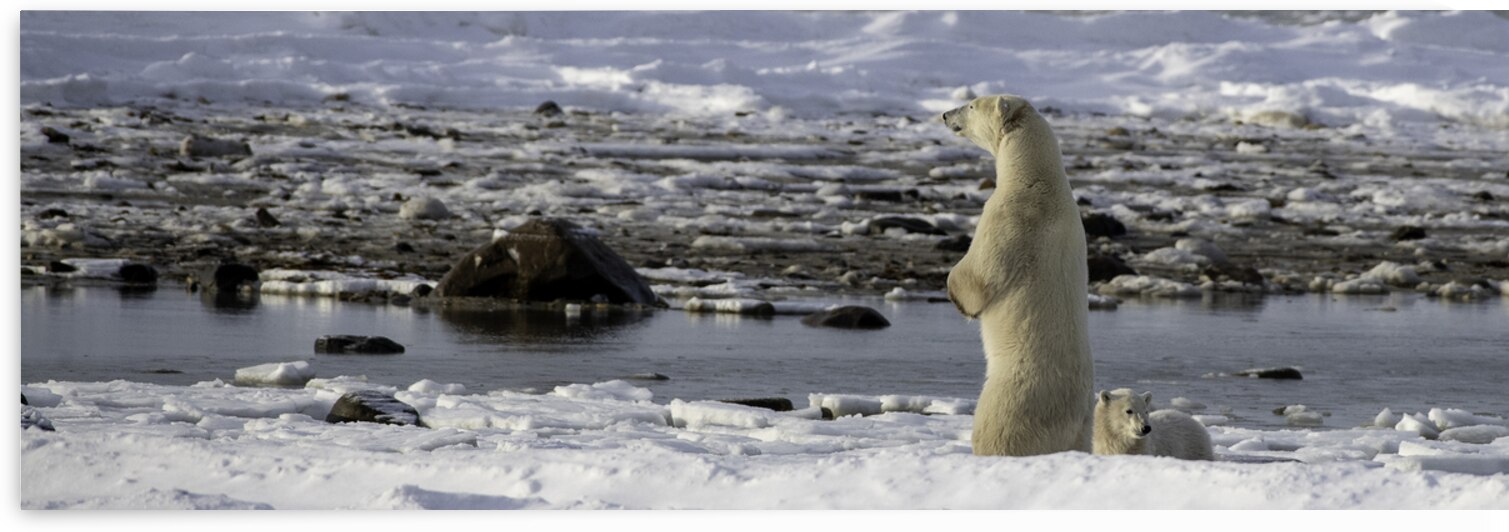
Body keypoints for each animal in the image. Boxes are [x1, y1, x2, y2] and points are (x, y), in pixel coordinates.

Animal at [940, 94, 1094, 456]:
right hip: (1084, 429)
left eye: (970, 106)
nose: (945, 114)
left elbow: (980, 276)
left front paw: (956, 295)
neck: (1039, 177)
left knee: (995, 431)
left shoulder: (1010, 215)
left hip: (1012, 399)